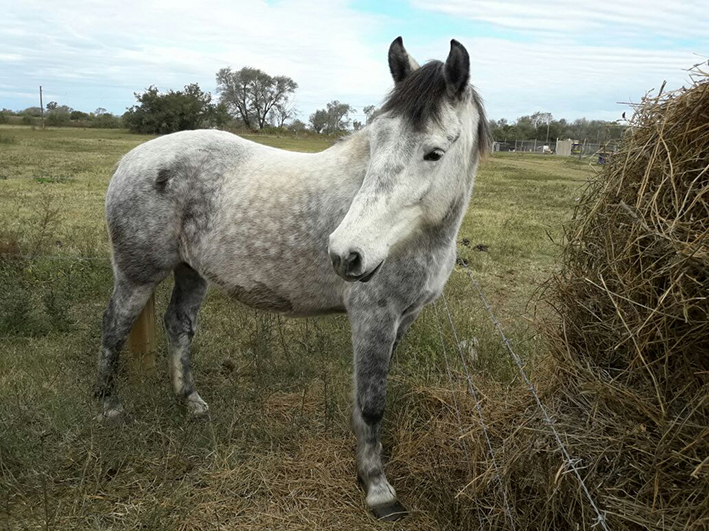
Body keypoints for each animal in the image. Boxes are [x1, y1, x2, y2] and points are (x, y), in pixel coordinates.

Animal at [95, 38, 486, 524]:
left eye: (434, 152)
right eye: (375, 141)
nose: (346, 253)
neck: (414, 237)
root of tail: (132, 159)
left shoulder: (403, 319)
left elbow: (373, 394)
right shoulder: (374, 317)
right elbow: (372, 403)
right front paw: (378, 489)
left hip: (191, 273)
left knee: (178, 326)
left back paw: (191, 402)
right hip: (137, 276)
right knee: (114, 327)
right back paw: (108, 405)